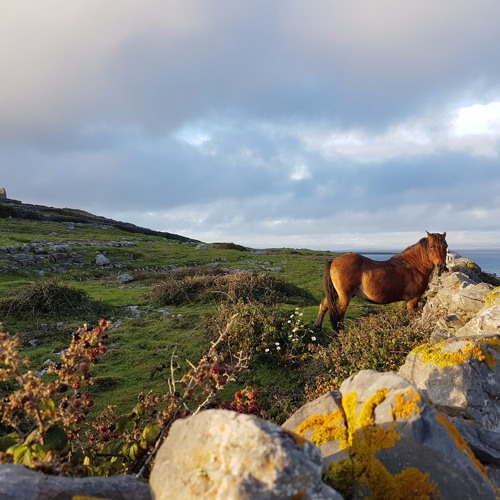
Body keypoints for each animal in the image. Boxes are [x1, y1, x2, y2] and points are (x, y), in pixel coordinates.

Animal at [316, 232, 450, 334]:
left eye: (445, 246)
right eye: (431, 246)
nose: (441, 266)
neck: (414, 266)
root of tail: (334, 260)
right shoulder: (412, 300)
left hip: (334, 293)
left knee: (324, 305)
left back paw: (318, 330)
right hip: (344, 296)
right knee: (339, 314)